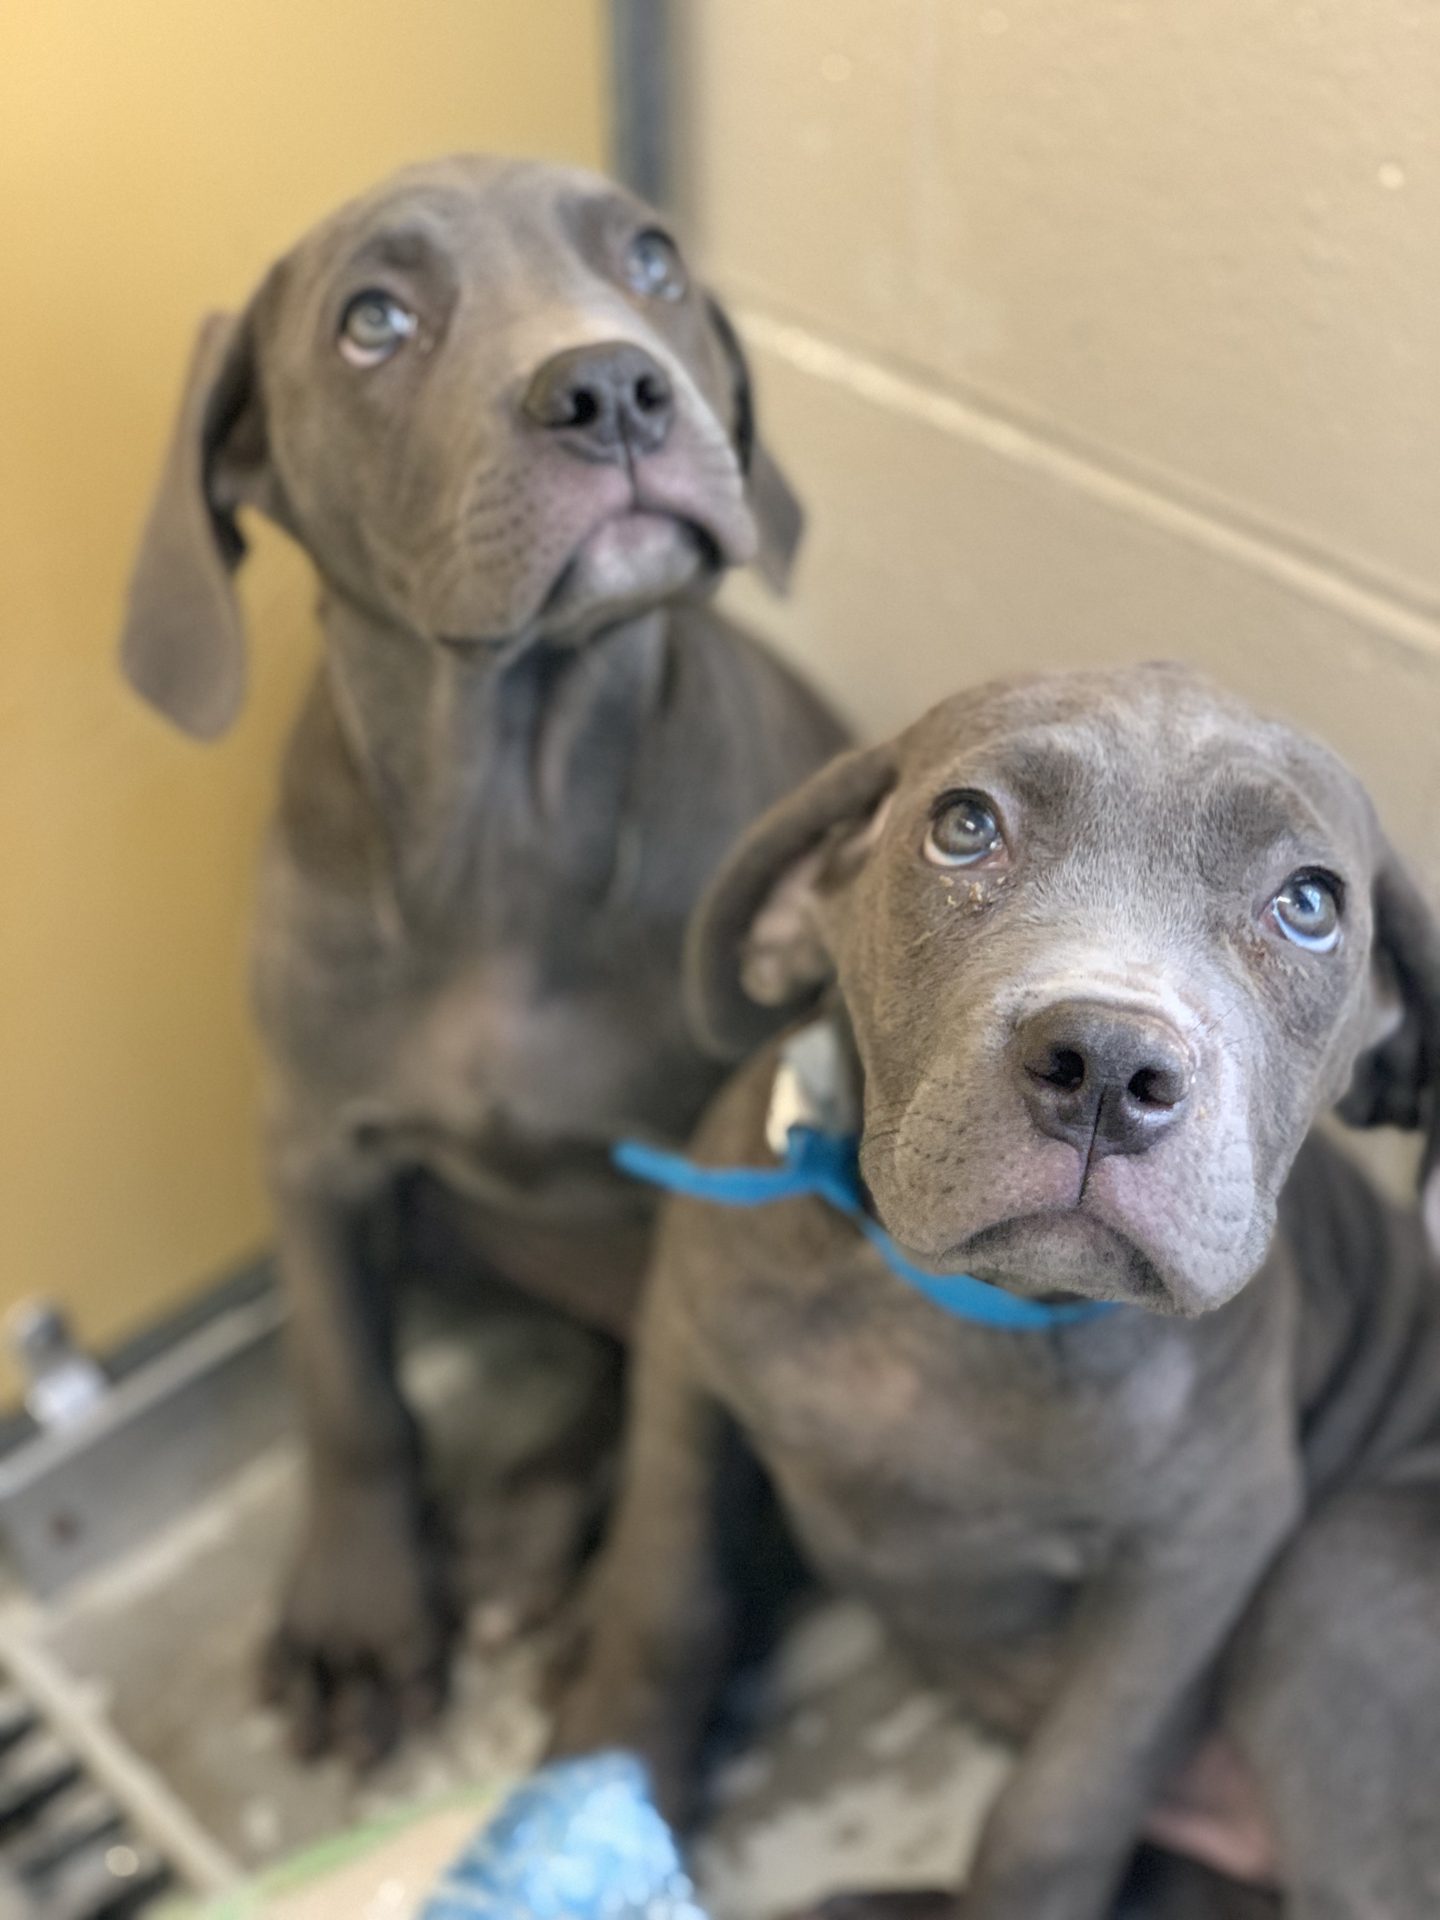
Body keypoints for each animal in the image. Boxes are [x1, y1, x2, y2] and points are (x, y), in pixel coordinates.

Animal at [123, 157, 852, 1758]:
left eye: (653, 260)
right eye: (373, 322)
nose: (614, 391)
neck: (508, 829)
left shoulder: (718, 1182)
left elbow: (679, 1451)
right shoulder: (313, 1146)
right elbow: (346, 1391)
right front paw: (358, 1620)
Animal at [556, 664, 1440, 1920]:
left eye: (1310, 904)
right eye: (966, 827)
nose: (1109, 1066)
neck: (955, 1309)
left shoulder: (1204, 1545)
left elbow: (1059, 1804)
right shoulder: (684, 1364)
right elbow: (662, 1608)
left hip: (1344, 1573)